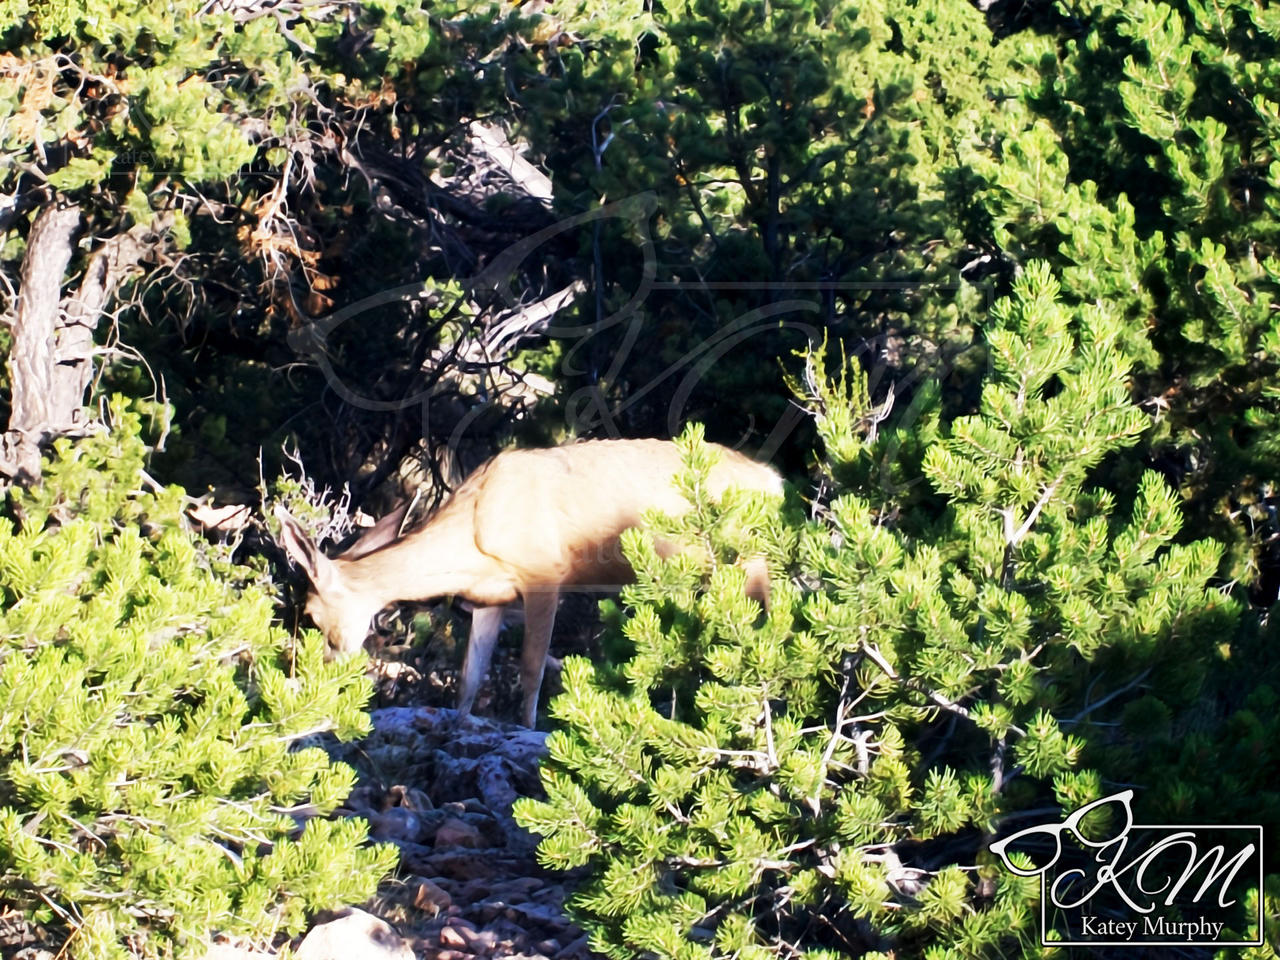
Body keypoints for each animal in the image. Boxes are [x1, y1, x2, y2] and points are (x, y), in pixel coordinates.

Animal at [275, 437, 783, 727]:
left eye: (314, 615)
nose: (317, 674)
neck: (472, 533)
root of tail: (773, 481)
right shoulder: (489, 597)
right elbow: (469, 675)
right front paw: (461, 725)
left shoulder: (545, 572)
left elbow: (532, 666)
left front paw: (528, 729)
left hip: (751, 565)